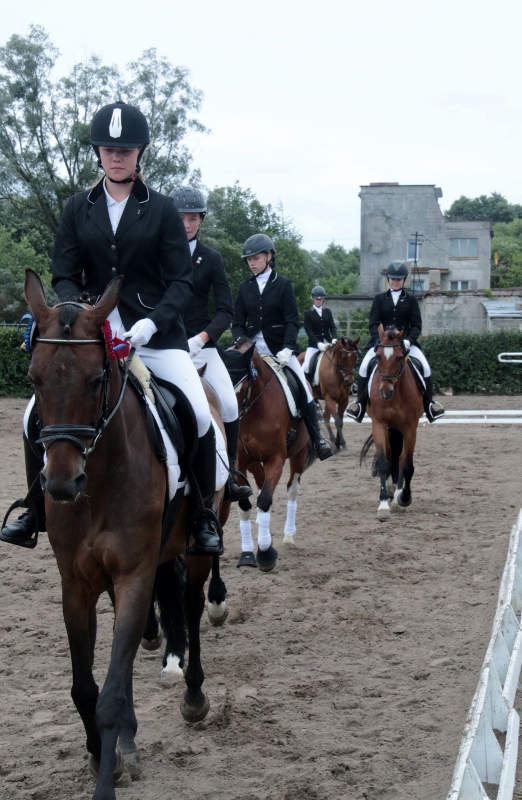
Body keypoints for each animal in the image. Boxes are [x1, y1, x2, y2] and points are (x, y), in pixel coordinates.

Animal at [23, 270, 228, 800]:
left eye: (96, 380)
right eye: (34, 379)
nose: (60, 484)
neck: (99, 478)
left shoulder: (134, 573)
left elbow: (112, 692)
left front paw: (106, 780)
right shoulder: (76, 583)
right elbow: (86, 686)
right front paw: (105, 755)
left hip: (197, 544)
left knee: (192, 604)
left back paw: (193, 694)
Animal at [360, 324, 424, 520]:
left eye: (398, 357)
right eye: (378, 356)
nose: (385, 392)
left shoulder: (410, 428)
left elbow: (407, 464)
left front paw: (403, 497)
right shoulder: (379, 424)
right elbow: (383, 460)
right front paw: (383, 505)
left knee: (398, 455)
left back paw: (397, 492)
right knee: (391, 453)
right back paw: (390, 489)